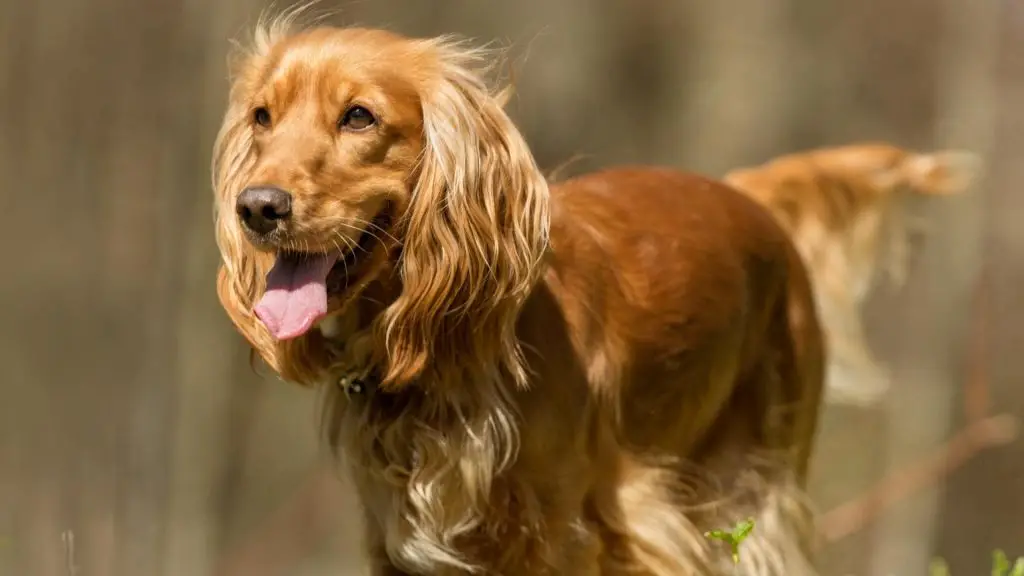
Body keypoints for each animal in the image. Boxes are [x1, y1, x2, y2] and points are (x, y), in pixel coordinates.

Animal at [211, 15, 827, 569]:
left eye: (359, 116)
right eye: (262, 117)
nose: (257, 207)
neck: (437, 356)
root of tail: (748, 196)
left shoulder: (573, 533)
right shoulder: (395, 543)